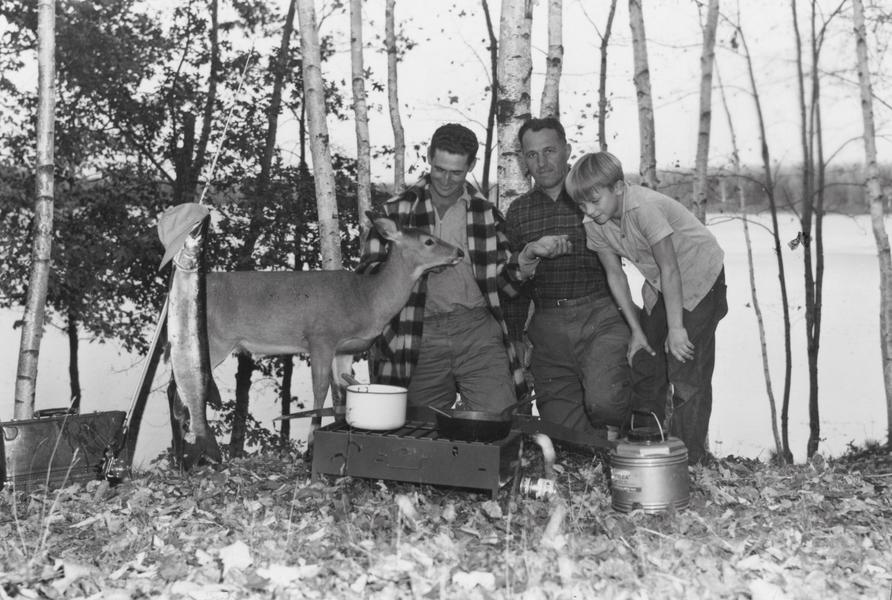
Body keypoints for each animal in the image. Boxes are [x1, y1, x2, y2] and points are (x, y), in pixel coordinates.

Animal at [199, 214, 464, 436]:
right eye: (429, 241)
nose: (459, 251)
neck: (367, 299)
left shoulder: (345, 350)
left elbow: (345, 388)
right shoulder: (321, 337)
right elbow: (320, 390)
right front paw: (311, 442)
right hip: (215, 340)